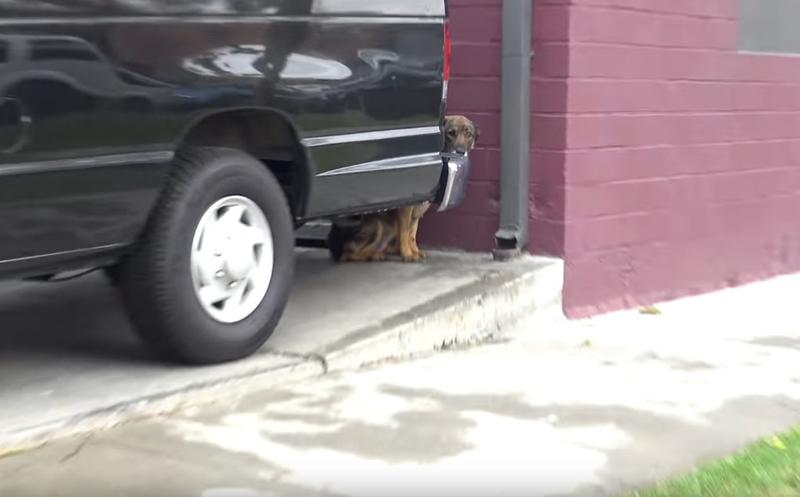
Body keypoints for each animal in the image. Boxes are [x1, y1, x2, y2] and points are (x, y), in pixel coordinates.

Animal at [330, 116, 478, 264]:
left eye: (468, 134)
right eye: (451, 133)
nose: (460, 151)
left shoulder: (417, 211)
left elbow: (412, 233)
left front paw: (415, 251)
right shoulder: (406, 208)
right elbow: (405, 232)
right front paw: (408, 254)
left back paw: (380, 253)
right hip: (379, 226)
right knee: (348, 253)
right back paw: (373, 255)